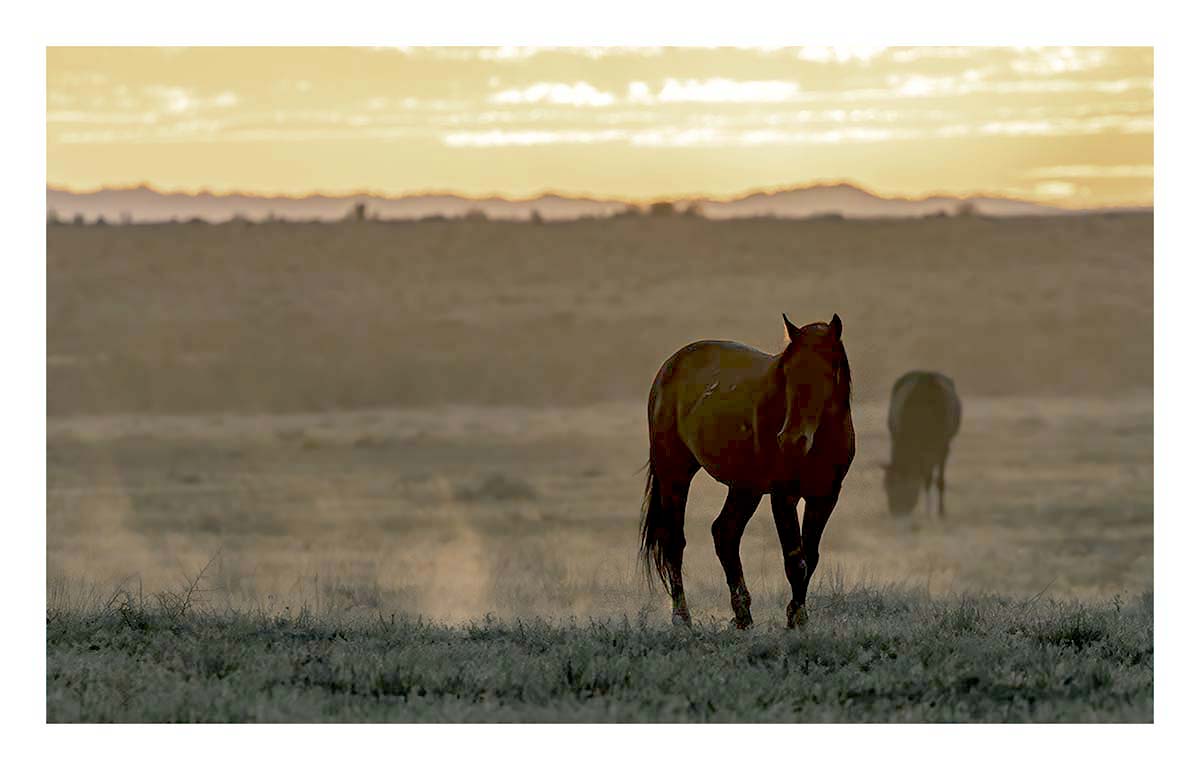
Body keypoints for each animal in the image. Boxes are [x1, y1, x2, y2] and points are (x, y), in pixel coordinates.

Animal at [639, 314, 855, 629]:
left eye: (829, 371)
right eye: (787, 373)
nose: (791, 440)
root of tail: (670, 366)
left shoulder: (826, 496)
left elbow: (810, 556)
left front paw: (797, 615)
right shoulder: (783, 494)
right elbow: (795, 559)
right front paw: (796, 619)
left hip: (745, 487)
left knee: (724, 533)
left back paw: (742, 616)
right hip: (674, 473)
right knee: (674, 540)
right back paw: (682, 618)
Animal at [883, 371, 962, 517]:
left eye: (905, 488)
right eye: (886, 487)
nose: (896, 512)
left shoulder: (944, 445)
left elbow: (937, 480)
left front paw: (939, 513)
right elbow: (927, 477)